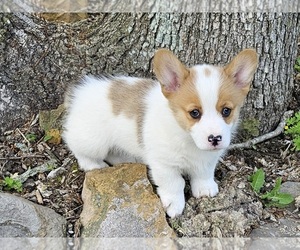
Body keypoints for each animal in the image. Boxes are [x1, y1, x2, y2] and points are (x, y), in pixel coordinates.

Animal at [62, 48, 258, 217]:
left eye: (226, 111)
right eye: (194, 113)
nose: (215, 139)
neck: (187, 138)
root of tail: (80, 93)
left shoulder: (208, 159)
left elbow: (204, 173)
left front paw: (204, 189)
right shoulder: (164, 164)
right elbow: (175, 184)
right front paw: (174, 205)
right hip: (93, 141)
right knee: (75, 145)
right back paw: (93, 165)